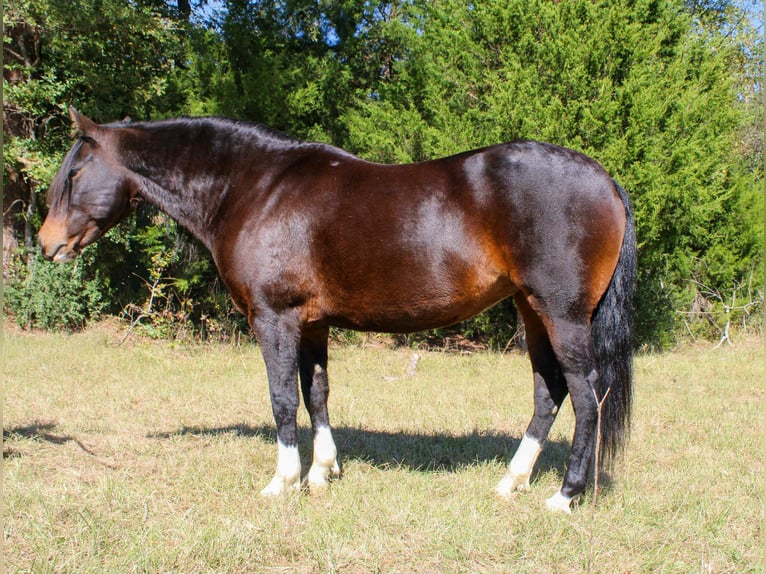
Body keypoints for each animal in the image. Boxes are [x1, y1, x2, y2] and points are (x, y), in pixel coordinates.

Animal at [39, 107, 635, 513]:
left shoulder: (274, 317)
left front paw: (282, 481)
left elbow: (283, 399)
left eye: (75, 173)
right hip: (531, 311)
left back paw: (564, 495)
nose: (46, 244)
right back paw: (512, 481)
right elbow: (316, 394)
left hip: (561, 314)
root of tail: (604, 178)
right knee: (549, 392)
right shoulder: (311, 322)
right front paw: (322, 472)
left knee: (587, 396)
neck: (255, 187)